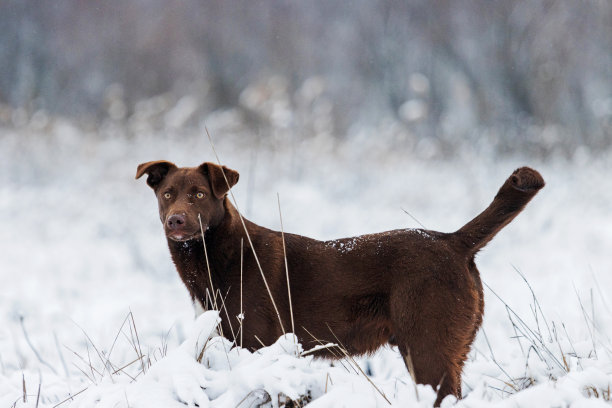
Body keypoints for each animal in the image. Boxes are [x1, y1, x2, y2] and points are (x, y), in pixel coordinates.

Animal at [136, 162, 544, 404]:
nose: (176, 220)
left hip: (428, 348)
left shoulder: (256, 345)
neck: (221, 255)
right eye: (168, 194)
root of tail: (452, 240)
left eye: (199, 194)